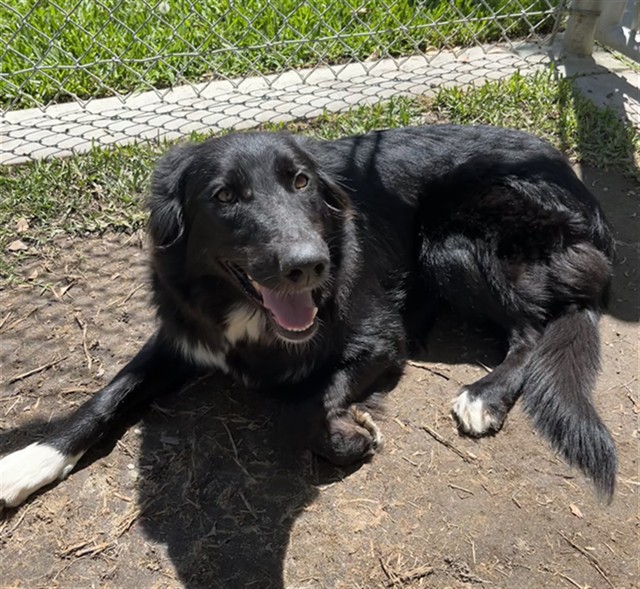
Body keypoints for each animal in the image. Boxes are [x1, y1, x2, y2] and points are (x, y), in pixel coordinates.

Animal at [0, 125, 617, 510]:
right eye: (224, 197)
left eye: (301, 182)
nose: (310, 265)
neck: (248, 315)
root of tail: (584, 195)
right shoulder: (183, 334)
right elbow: (108, 395)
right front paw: (30, 461)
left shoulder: (378, 340)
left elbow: (301, 407)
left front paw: (349, 434)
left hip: (450, 241)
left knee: (531, 329)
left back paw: (485, 394)